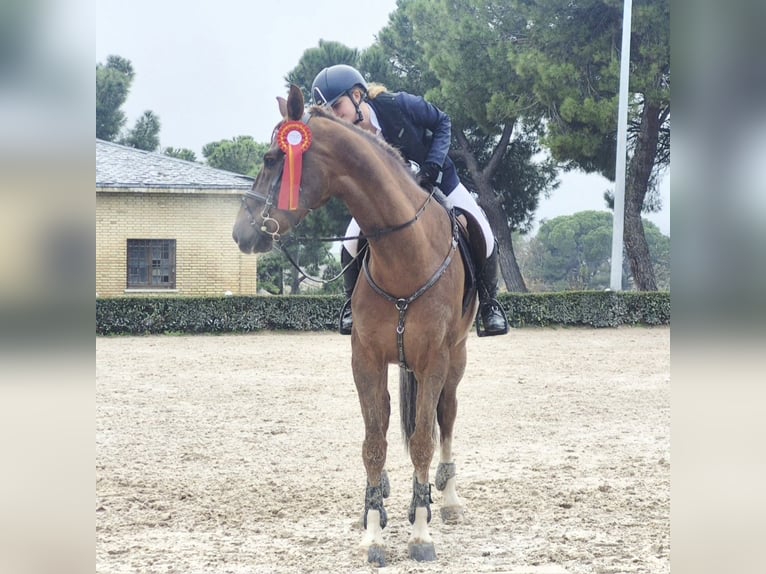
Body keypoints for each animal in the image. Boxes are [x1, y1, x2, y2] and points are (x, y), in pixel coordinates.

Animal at [232, 84, 479, 565]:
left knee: (446, 417)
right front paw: (373, 531)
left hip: (456, 359)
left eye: (272, 158)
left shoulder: (434, 360)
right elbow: (374, 443)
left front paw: (420, 533)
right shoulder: (365, 359)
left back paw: (449, 499)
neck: (404, 253)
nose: (241, 233)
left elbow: (422, 440)